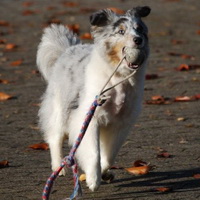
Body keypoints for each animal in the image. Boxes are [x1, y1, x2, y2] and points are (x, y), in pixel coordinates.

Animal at [36, 5, 151, 191]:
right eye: (121, 31)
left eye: (140, 29)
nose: (138, 40)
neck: (117, 78)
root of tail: (68, 49)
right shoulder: (89, 117)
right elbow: (93, 151)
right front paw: (93, 179)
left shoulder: (120, 122)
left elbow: (109, 155)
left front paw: (105, 172)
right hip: (60, 108)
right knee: (54, 138)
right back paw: (59, 167)